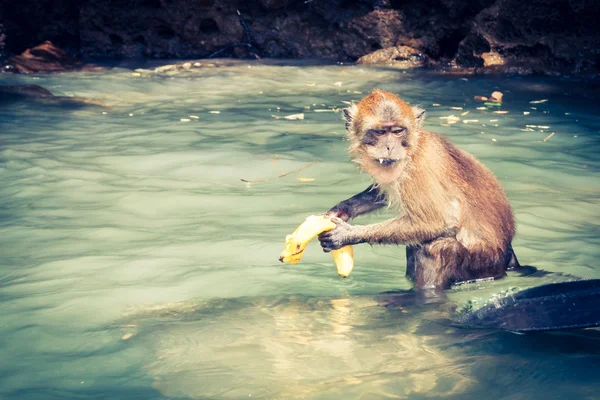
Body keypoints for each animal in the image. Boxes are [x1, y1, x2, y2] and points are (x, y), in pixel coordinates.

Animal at [318, 89, 520, 290]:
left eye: (398, 131)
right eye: (380, 132)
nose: (390, 147)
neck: (413, 146)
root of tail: (507, 252)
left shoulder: (419, 167)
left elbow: (431, 222)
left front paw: (347, 234)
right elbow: (383, 191)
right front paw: (343, 209)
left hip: (483, 264)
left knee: (436, 249)